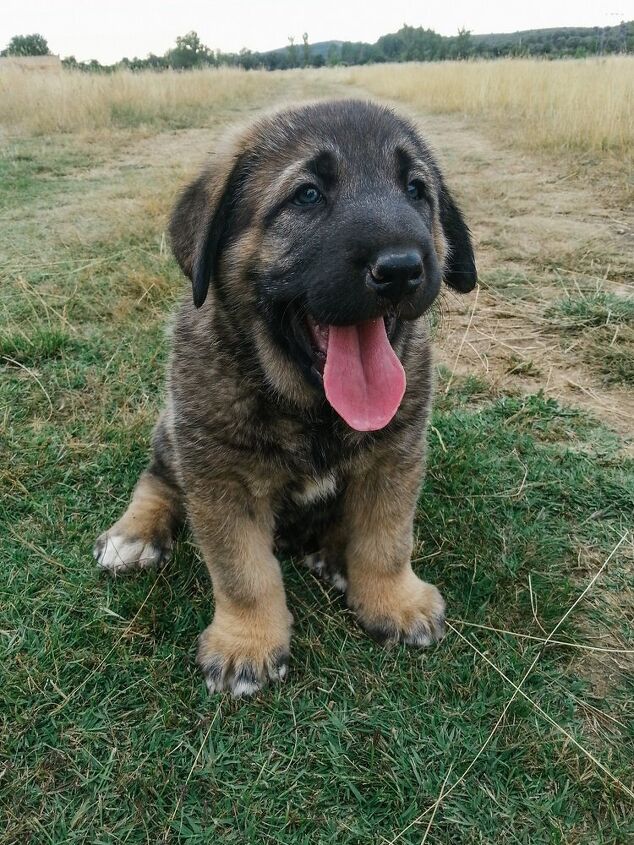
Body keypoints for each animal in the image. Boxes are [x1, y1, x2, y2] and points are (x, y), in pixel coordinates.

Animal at [91, 99, 472, 696]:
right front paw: (246, 642)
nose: (401, 270)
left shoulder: (396, 453)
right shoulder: (219, 479)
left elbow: (387, 537)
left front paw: (393, 598)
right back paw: (134, 534)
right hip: (172, 433)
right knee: (157, 479)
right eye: (308, 195)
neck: (308, 407)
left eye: (416, 190)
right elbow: (243, 572)